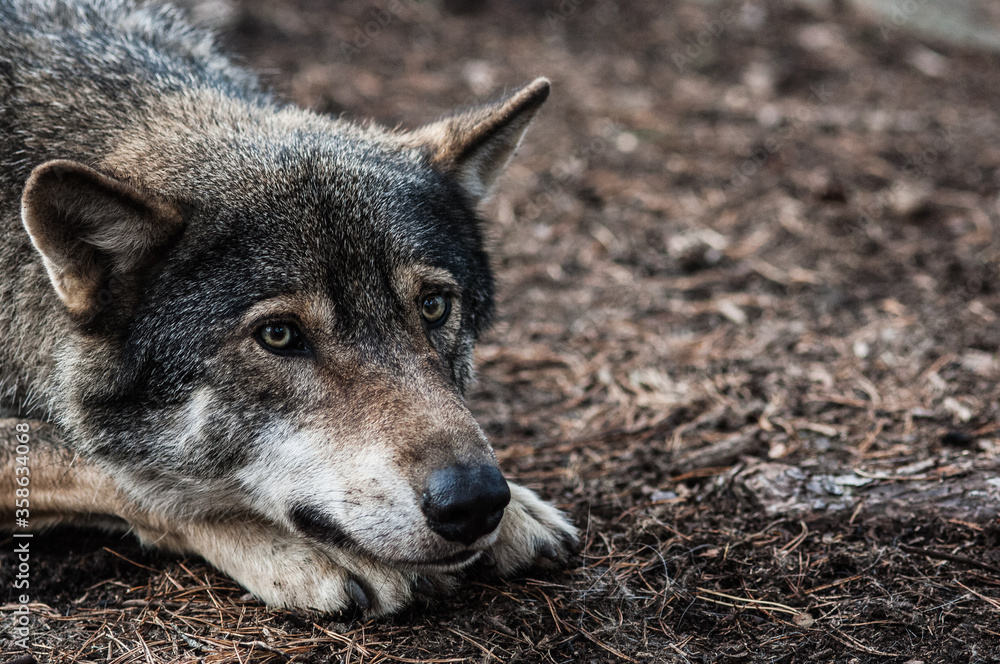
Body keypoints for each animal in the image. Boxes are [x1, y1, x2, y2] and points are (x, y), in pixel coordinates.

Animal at [0, 0, 577, 616]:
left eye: (433, 306)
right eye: (279, 335)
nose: (474, 501)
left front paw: (517, 510)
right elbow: (114, 470)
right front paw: (308, 549)